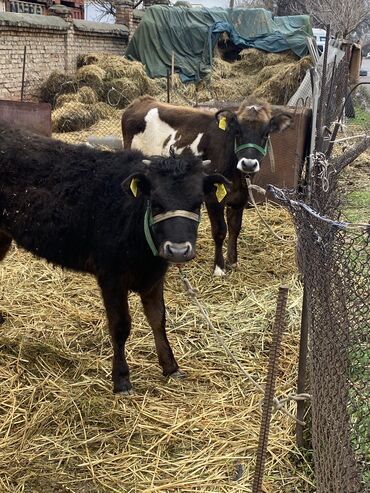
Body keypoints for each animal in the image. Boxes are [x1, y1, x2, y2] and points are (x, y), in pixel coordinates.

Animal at [122, 94, 292, 274]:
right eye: (237, 132)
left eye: (266, 134)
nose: (249, 164)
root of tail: (141, 101)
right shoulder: (213, 198)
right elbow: (220, 231)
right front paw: (219, 267)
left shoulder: (240, 198)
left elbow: (235, 228)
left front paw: (233, 261)